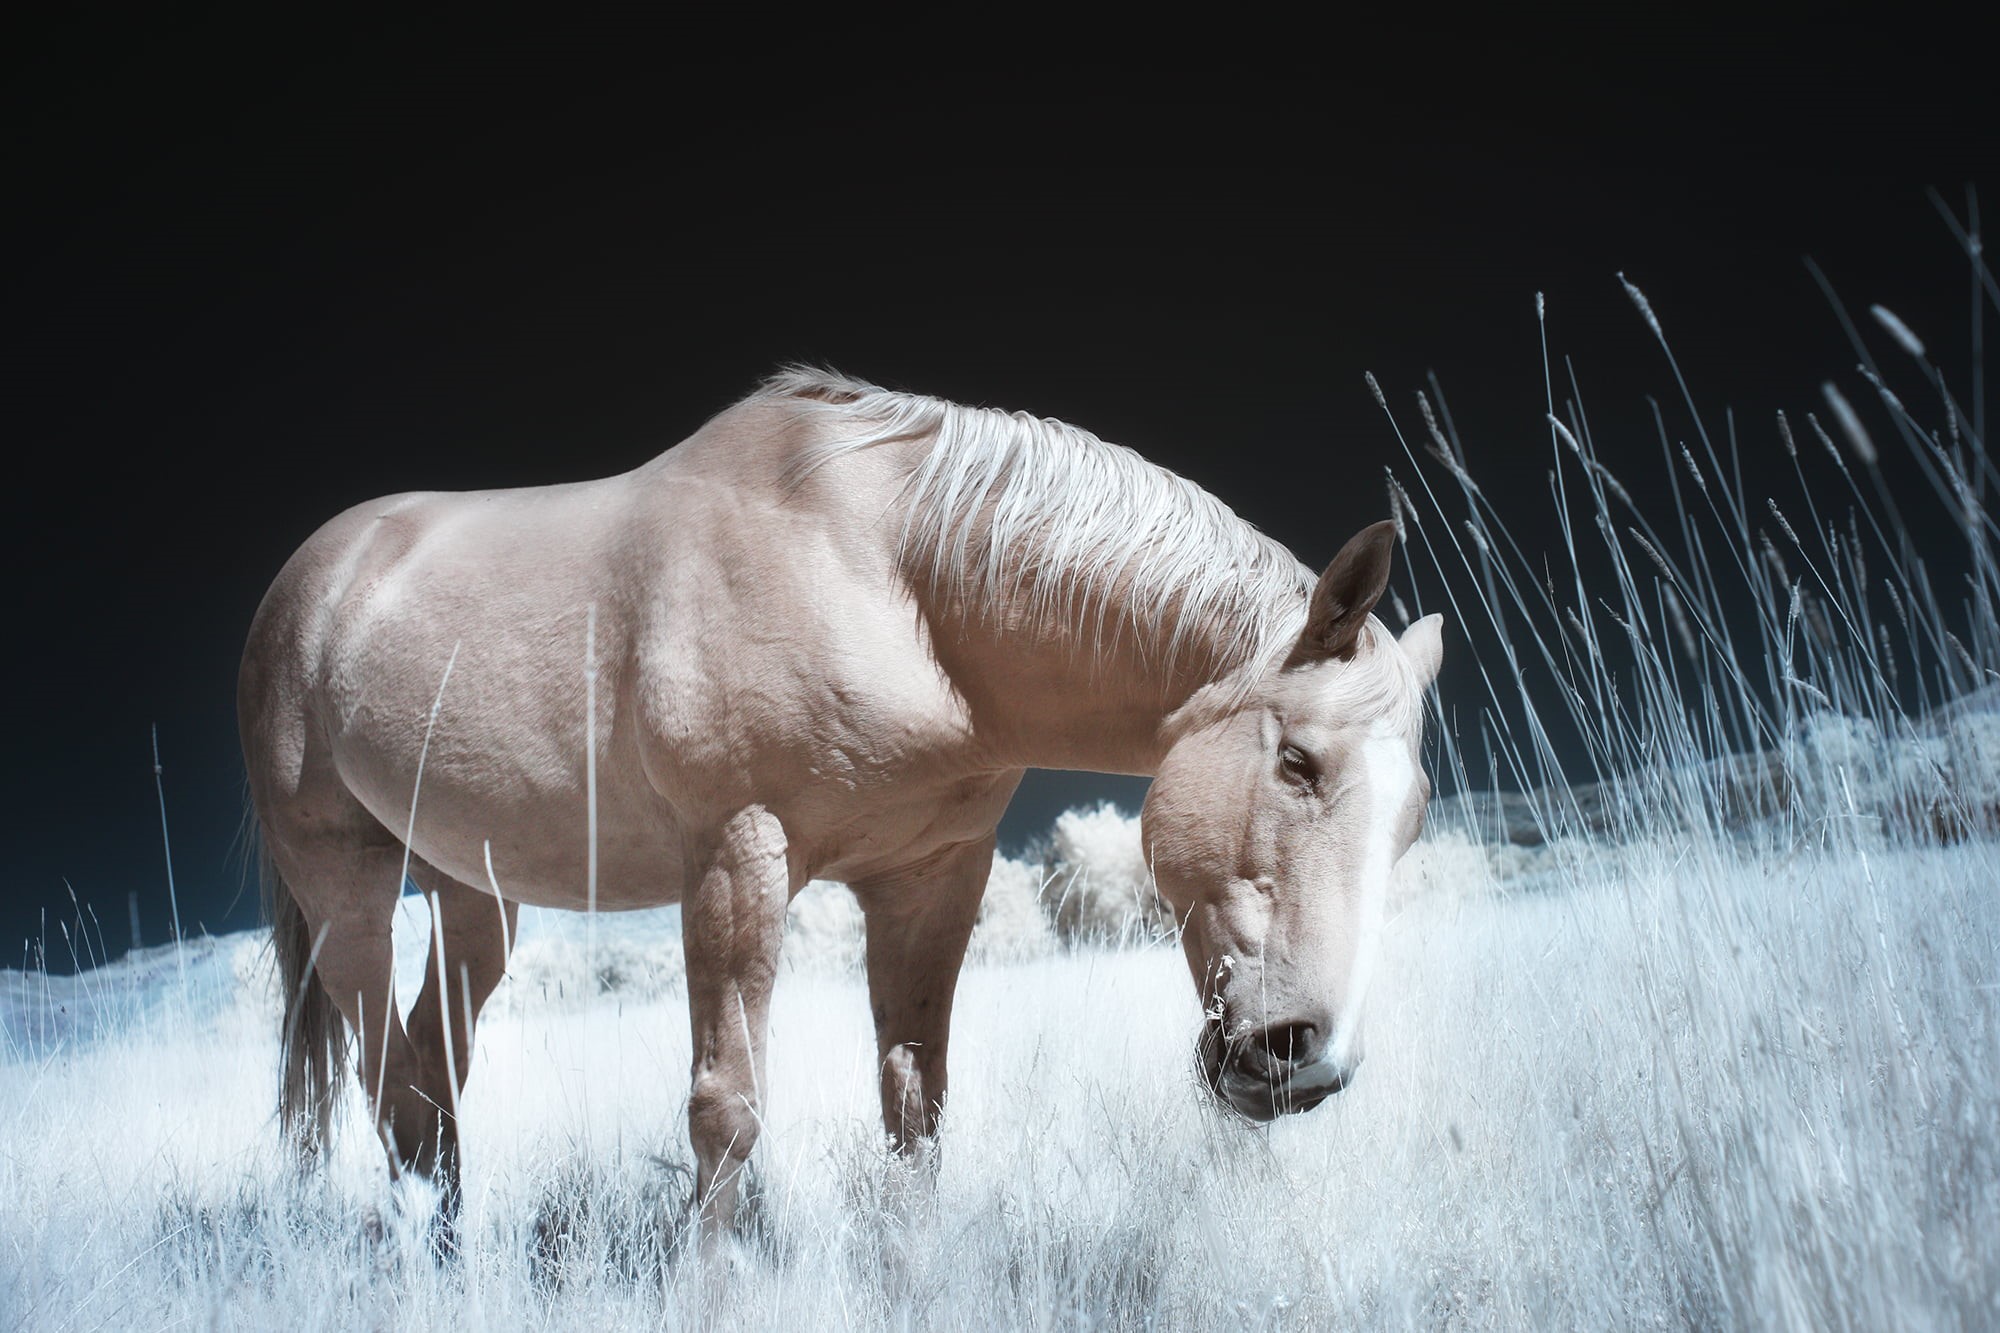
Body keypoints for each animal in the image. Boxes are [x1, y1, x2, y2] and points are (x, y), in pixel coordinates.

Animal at [238, 367, 1444, 1245]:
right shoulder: (737, 861)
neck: (894, 581)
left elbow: (915, 1106)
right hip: (346, 893)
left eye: (1413, 821)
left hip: (471, 895)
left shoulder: (930, 878)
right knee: (389, 1083)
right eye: (1298, 762)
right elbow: (724, 1112)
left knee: (431, 1081)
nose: (1306, 1059)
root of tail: (312, 576)